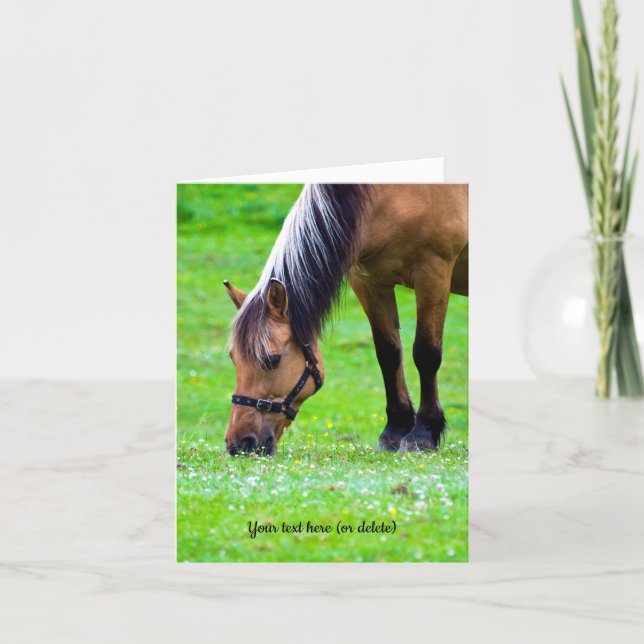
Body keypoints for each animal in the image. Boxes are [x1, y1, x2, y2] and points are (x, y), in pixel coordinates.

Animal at [224, 183, 468, 456]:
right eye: (233, 358)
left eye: (272, 359)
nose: (239, 444)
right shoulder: (368, 280)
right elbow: (388, 354)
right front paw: (394, 431)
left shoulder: (433, 273)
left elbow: (426, 354)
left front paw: (423, 433)